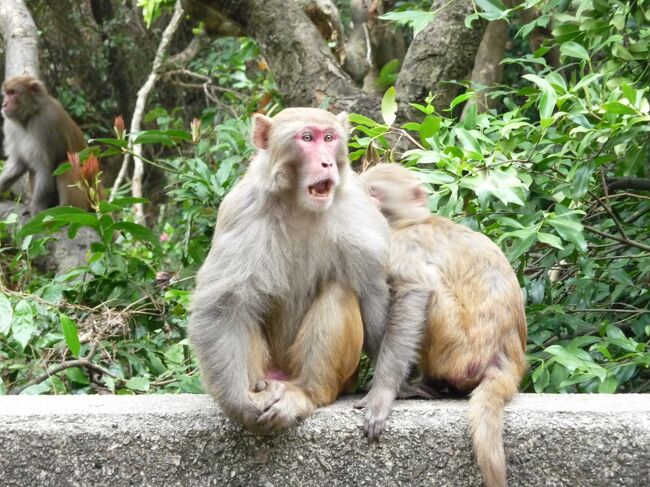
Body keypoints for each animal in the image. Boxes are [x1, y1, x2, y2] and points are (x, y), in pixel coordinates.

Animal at [0, 76, 101, 214]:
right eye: (6, 93)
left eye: (12, 93)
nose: (4, 104)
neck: (31, 115)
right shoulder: (10, 126)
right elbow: (18, 163)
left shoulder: (46, 124)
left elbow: (46, 170)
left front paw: (35, 209)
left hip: (90, 195)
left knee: (64, 164)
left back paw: (68, 208)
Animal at [189, 107, 390, 434]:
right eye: (307, 138)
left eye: (329, 138)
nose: (326, 162)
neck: (300, 203)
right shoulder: (242, 209)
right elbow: (224, 304)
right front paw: (239, 403)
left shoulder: (358, 208)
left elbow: (373, 293)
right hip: (267, 366)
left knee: (339, 292)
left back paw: (306, 393)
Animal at [360, 163, 528, 487]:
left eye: (374, 191)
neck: (413, 220)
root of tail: (507, 358)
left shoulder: (400, 244)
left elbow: (415, 290)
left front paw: (383, 392)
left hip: (458, 353)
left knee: (431, 290)